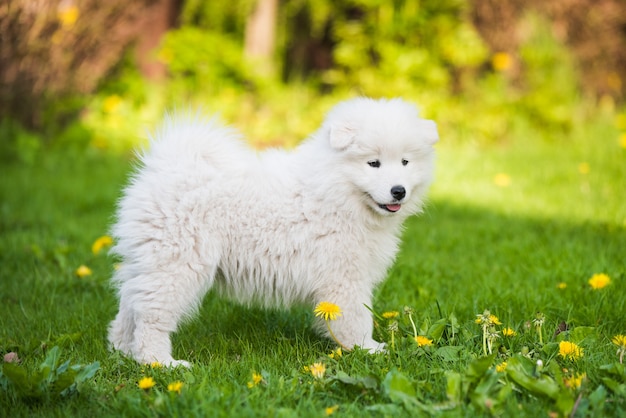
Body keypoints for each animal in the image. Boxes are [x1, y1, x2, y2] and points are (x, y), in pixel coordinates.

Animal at [107, 98, 436, 366]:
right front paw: (367, 349)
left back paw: (122, 350)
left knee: (130, 303)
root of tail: (165, 168)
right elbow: (356, 317)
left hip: (149, 260)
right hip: (177, 263)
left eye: (405, 161)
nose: (398, 191)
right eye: (373, 163)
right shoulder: (344, 276)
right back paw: (159, 363)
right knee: (151, 315)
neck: (335, 189)